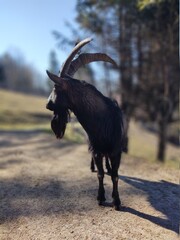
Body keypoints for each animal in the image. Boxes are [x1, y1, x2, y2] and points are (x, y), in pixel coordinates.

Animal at [45, 38, 126, 210]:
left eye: (55, 87)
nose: (47, 104)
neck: (103, 123)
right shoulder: (96, 149)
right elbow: (100, 174)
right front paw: (101, 198)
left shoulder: (117, 151)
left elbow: (115, 176)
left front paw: (117, 201)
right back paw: (93, 167)